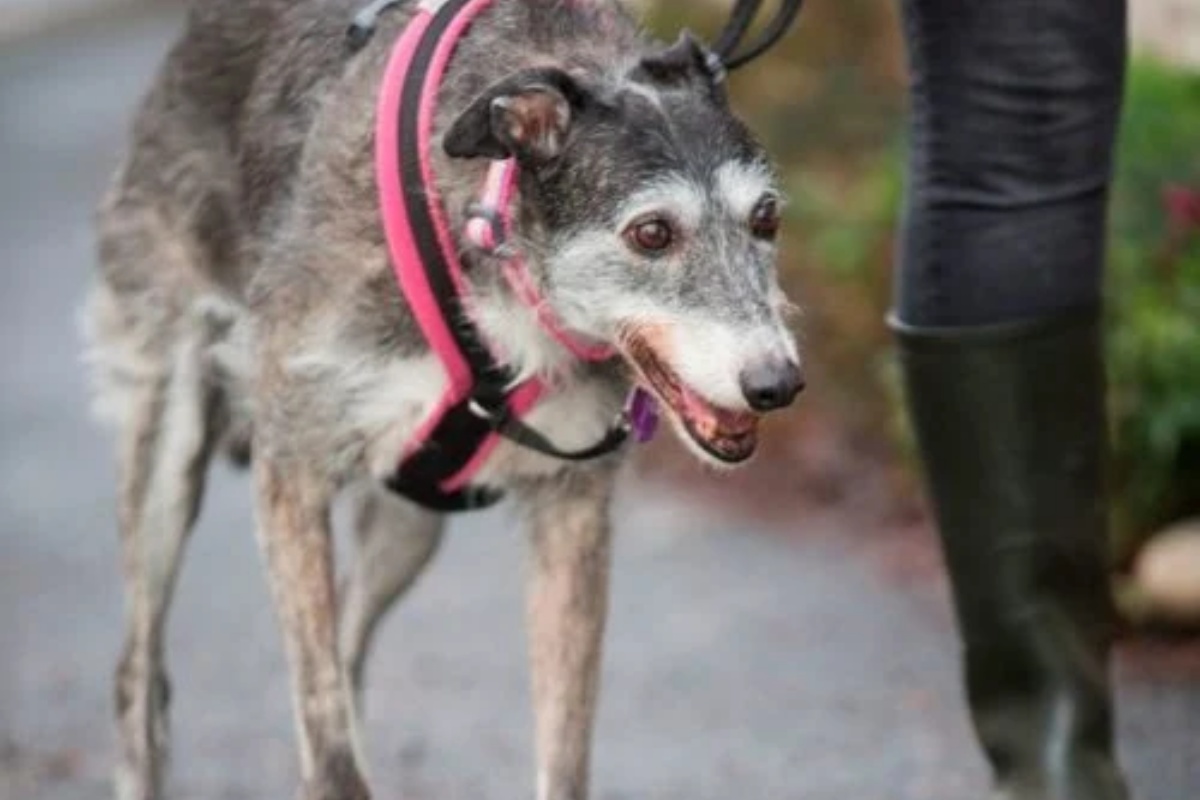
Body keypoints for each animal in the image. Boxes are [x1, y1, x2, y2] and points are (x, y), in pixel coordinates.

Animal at [84, 0, 801, 796]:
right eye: (652, 232)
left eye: (766, 217)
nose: (777, 384)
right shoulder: (289, 470)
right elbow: (329, 751)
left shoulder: (572, 510)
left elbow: (563, 753)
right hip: (168, 450)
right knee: (140, 675)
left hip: (410, 518)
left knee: (347, 651)